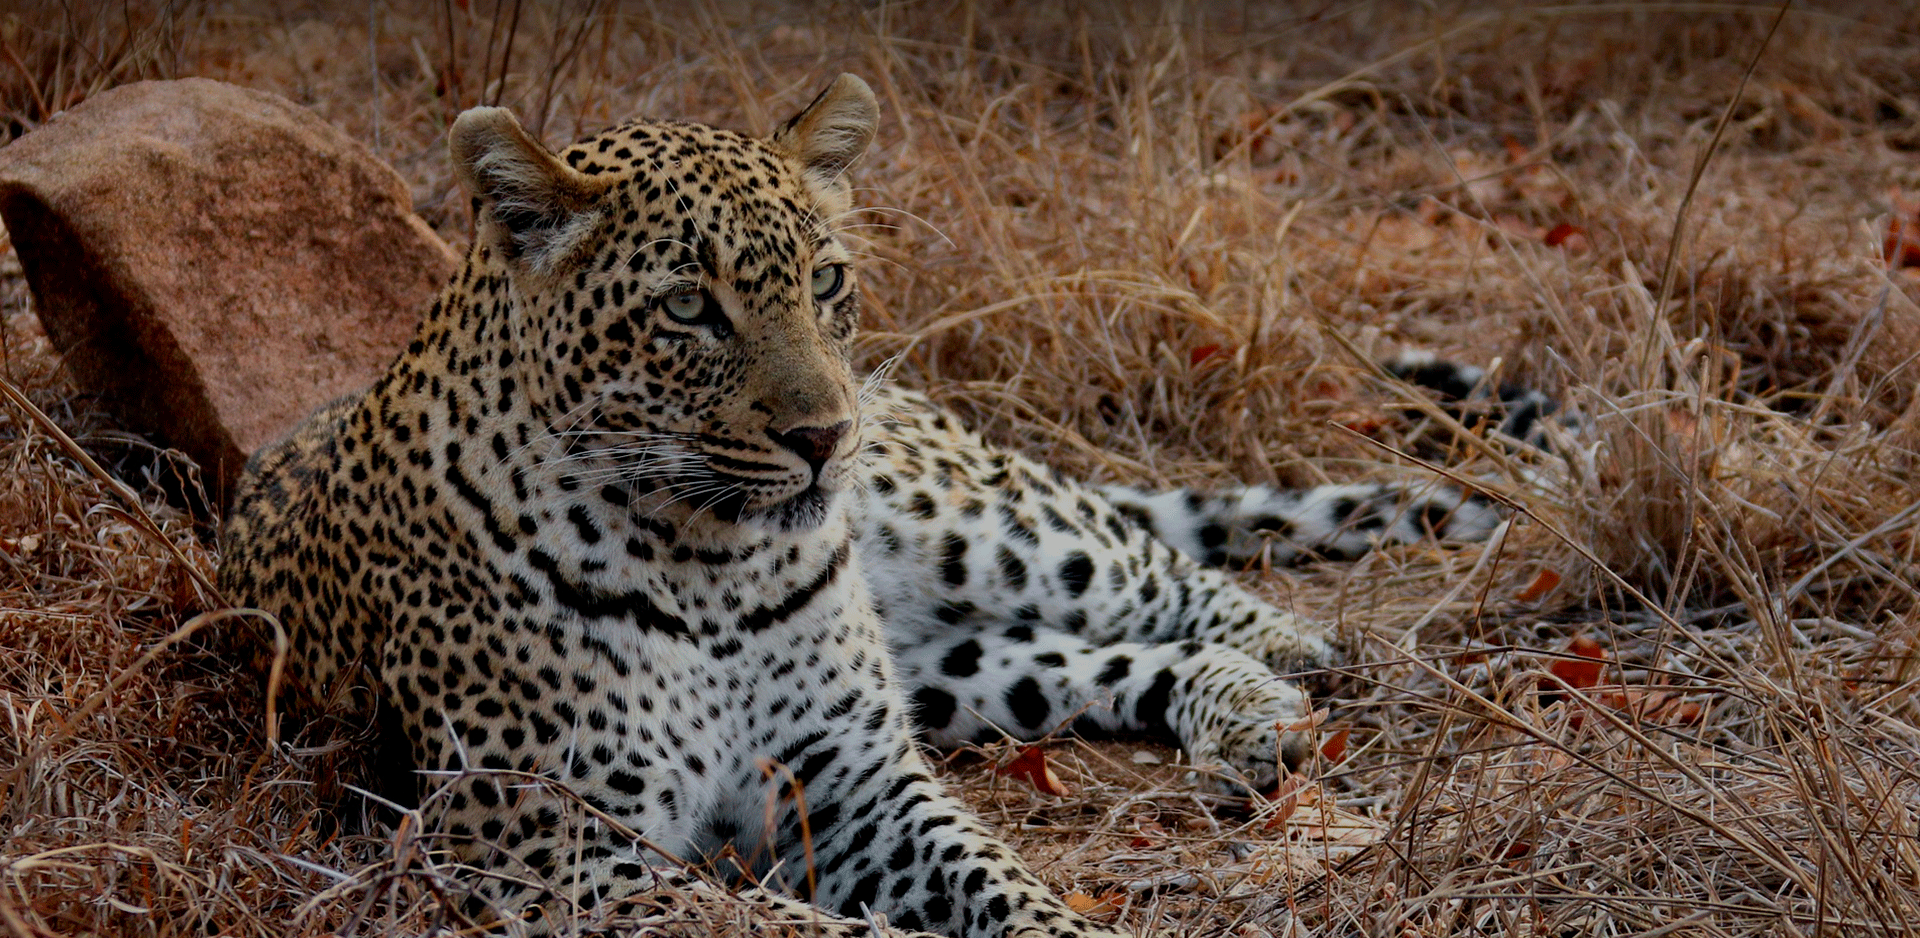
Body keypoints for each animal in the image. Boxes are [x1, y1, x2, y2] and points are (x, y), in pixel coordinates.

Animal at [217, 74, 1519, 937]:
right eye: (687, 308)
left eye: (828, 280)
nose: (825, 436)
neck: (705, 566)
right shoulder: (558, 854)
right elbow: (787, 927)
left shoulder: (852, 776)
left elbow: (998, 879)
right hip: (945, 666)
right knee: (1090, 662)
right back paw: (1253, 713)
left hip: (980, 530)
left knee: (1161, 572)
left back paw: (1298, 669)